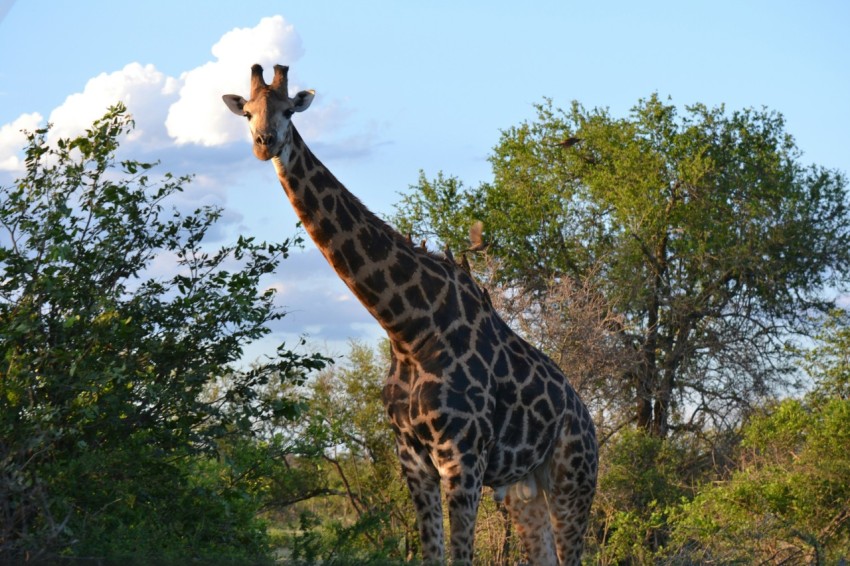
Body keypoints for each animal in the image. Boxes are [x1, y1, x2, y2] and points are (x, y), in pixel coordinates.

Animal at [223, 64, 598, 565]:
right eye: (247, 112)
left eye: (288, 111)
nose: (264, 143)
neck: (408, 329)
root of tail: (588, 419)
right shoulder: (413, 458)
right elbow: (432, 554)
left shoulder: (464, 457)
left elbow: (460, 556)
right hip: (525, 490)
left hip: (573, 480)